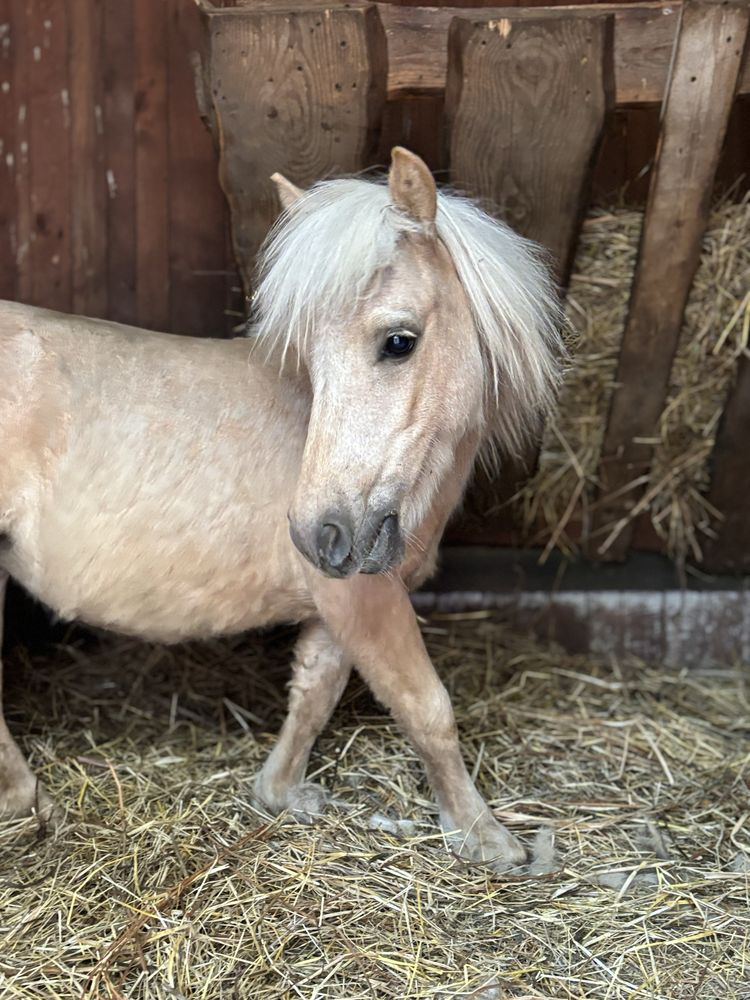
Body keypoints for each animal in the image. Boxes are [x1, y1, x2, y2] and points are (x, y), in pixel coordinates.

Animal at [0, 148, 564, 868]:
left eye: (399, 342)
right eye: (314, 359)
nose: (319, 533)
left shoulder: (337, 598)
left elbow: (315, 693)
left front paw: (282, 792)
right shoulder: (365, 596)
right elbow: (426, 707)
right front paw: (482, 834)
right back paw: (26, 801)